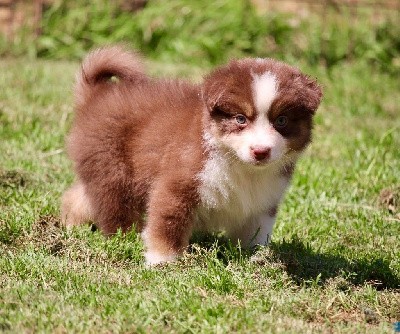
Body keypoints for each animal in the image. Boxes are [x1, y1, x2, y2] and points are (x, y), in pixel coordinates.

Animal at [61, 45, 322, 264]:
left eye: (281, 121)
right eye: (240, 119)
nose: (261, 151)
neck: (238, 165)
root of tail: (97, 96)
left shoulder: (264, 198)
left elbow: (256, 231)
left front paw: (258, 258)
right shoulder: (178, 184)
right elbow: (168, 224)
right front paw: (162, 261)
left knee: (80, 196)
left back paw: (71, 223)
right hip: (113, 169)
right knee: (113, 205)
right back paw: (122, 237)